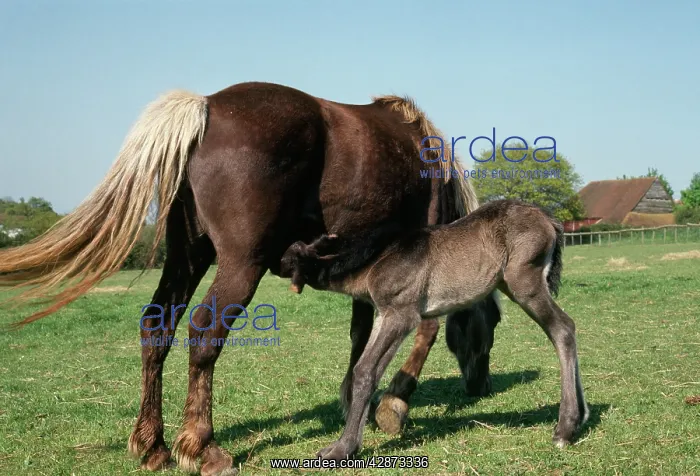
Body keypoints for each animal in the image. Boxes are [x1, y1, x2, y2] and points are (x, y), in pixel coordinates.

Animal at [0, 81, 501, 475]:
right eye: (493, 324)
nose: (482, 386)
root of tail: (206, 107)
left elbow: (361, 333)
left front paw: (352, 397)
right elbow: (425, 329)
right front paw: (394, 403)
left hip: (188, 256)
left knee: (157, 327)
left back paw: (153, 444)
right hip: (240, 264)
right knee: (204, 335)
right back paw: (202, 447)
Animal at [280, 199, 590, 459]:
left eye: (292, 256)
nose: (279, 263)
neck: (378, 258)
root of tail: (548, 218)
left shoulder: (402, 314)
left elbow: (366, 371)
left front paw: (342, 448)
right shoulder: (383, 314)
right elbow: (366, 370)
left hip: (524, 282)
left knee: (563, 329)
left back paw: (565, 429)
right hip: (510, 284)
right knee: (565, 328)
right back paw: (580, 417)